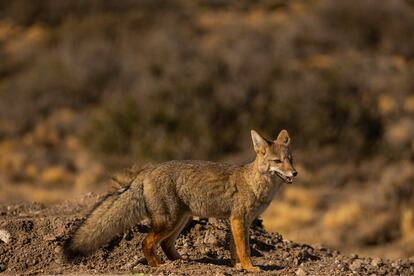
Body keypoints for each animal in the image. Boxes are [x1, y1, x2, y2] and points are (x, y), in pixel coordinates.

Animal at [64, 130, 298, 272]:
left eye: (290, 160)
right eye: (278, 162)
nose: (295, 173)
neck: (254, 183)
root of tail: (147, 171)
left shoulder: (238, 221)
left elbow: (235, 248)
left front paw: (236, 266)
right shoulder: (239, 220)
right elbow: (244, 249)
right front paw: (249, 267)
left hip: (180, 221)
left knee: (166, 244)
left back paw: (181, 261)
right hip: (169, 222)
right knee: (146, 242)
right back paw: (158, 267)